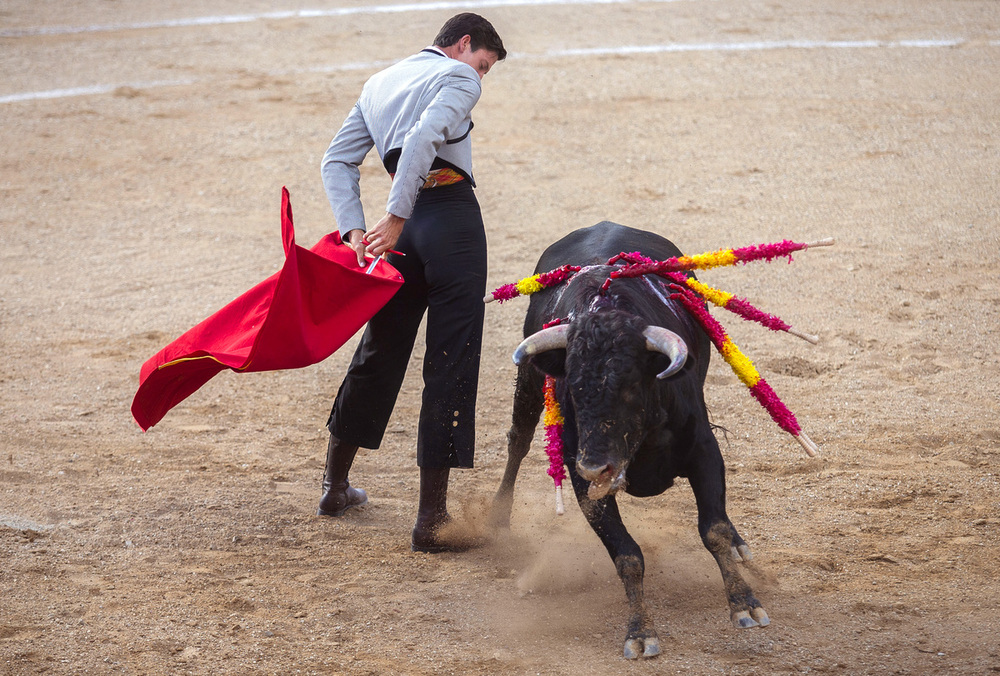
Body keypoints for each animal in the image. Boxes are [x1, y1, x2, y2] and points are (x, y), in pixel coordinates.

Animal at [492, 223, 764, 660]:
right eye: (573, 388)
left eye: (631, 387)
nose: (595, 465)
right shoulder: (582, 480)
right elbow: (627, 555)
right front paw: (639, 631)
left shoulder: (704, 450)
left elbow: (714, 529)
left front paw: (744, 604)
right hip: (530, 386)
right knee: (519, 439)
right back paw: (498, 516)